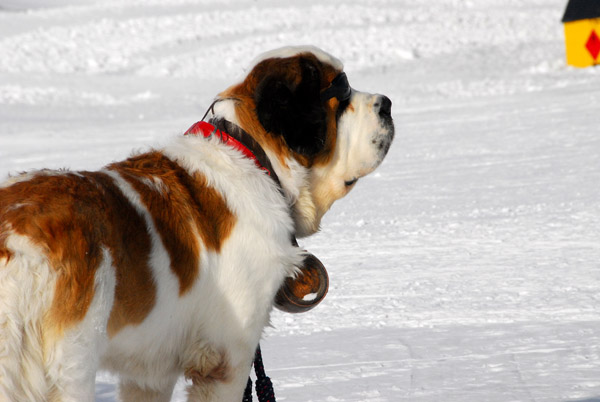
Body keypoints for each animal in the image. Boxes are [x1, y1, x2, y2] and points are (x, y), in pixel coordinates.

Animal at [0, 45, 394, 400]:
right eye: (341, 94)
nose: (387, 103)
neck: (255, 159)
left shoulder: (148, 374)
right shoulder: (227, 358)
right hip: (67, 365)